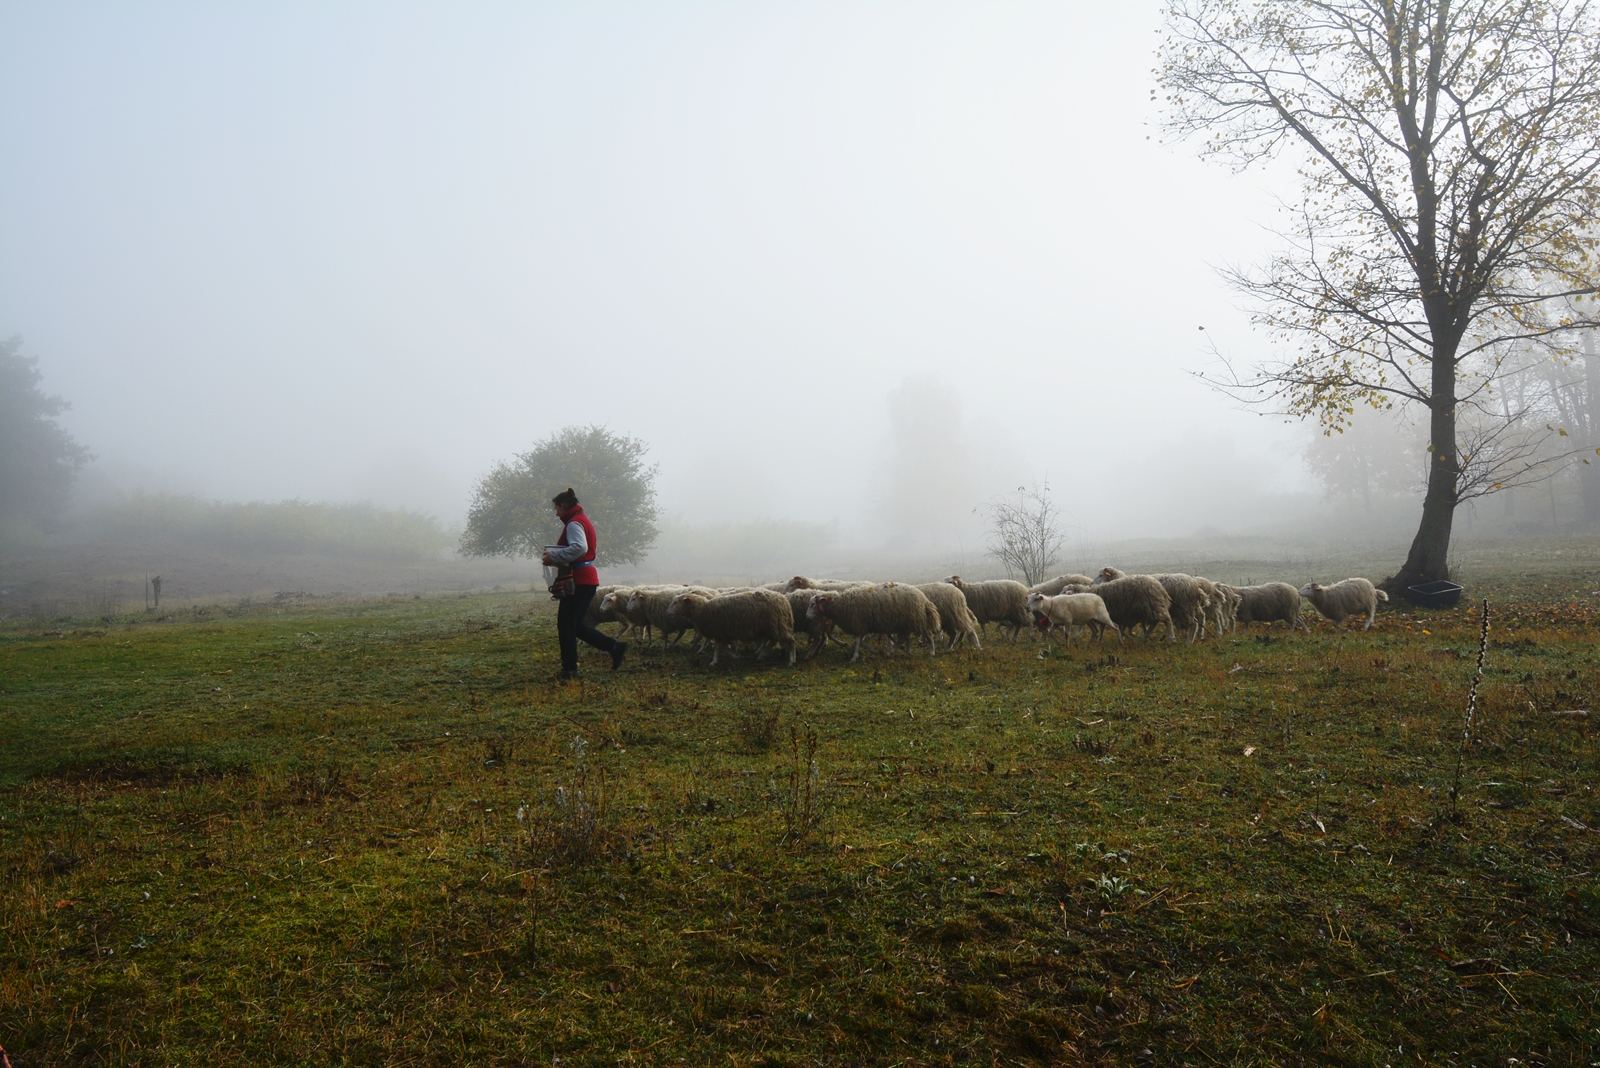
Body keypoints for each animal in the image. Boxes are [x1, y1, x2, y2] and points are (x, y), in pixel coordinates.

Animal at [665, 588, 796, 661]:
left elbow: (719, 647)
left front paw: (717, 660)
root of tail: (784, 600)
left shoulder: (720, 632)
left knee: (789, 641)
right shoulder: (722, 633)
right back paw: (761, 656)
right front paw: (728, 657)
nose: (667, 613)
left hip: (777, 625)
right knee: (773, 641)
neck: (703, 609)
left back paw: (791, 660)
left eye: (676, 602)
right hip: (772, 626)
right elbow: (720, 647)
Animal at [806, 585, 940, 658]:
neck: (839, 604)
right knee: (904, 638)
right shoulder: (863, 626)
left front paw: (854, 657)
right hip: (905, 622)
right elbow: (860, 641)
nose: (806, 616)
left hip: (917, 620)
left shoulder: (859, 623)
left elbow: (858, 641)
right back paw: (893, 652)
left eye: (813, 604)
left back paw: (931, 653)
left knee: (929, 635)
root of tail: (925, 601)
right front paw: (874, 651)